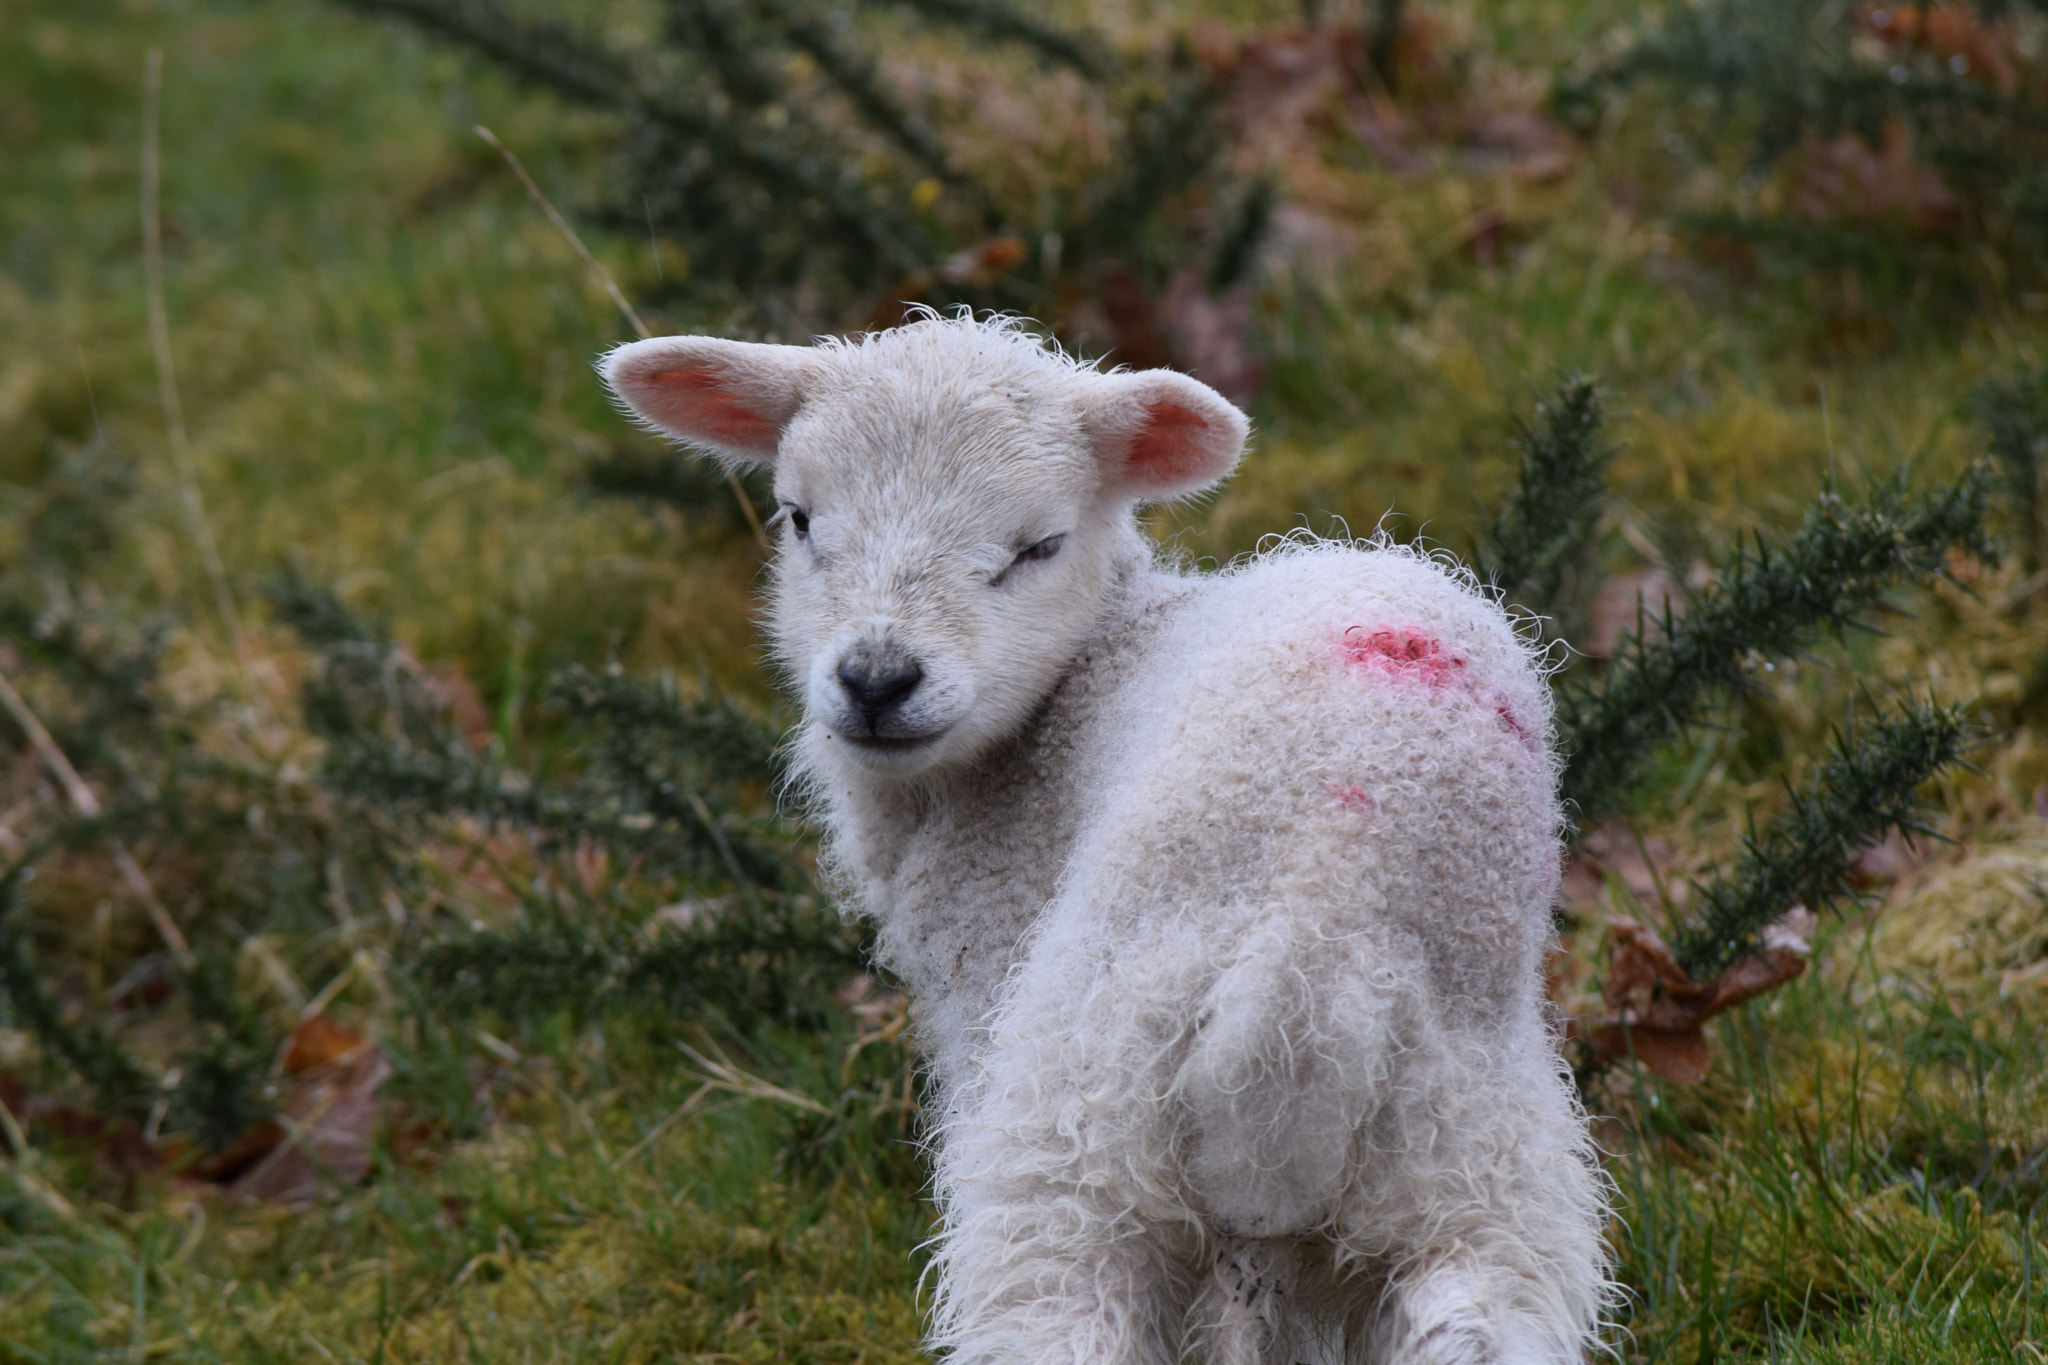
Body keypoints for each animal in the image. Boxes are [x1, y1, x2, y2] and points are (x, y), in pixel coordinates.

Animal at [601, 313, 1610, 1365]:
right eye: (798, 518)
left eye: (1039, 544)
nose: (877, 680)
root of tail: (1317, 940)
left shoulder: (987, 978)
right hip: (1478, 1171)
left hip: (1084, 1117)